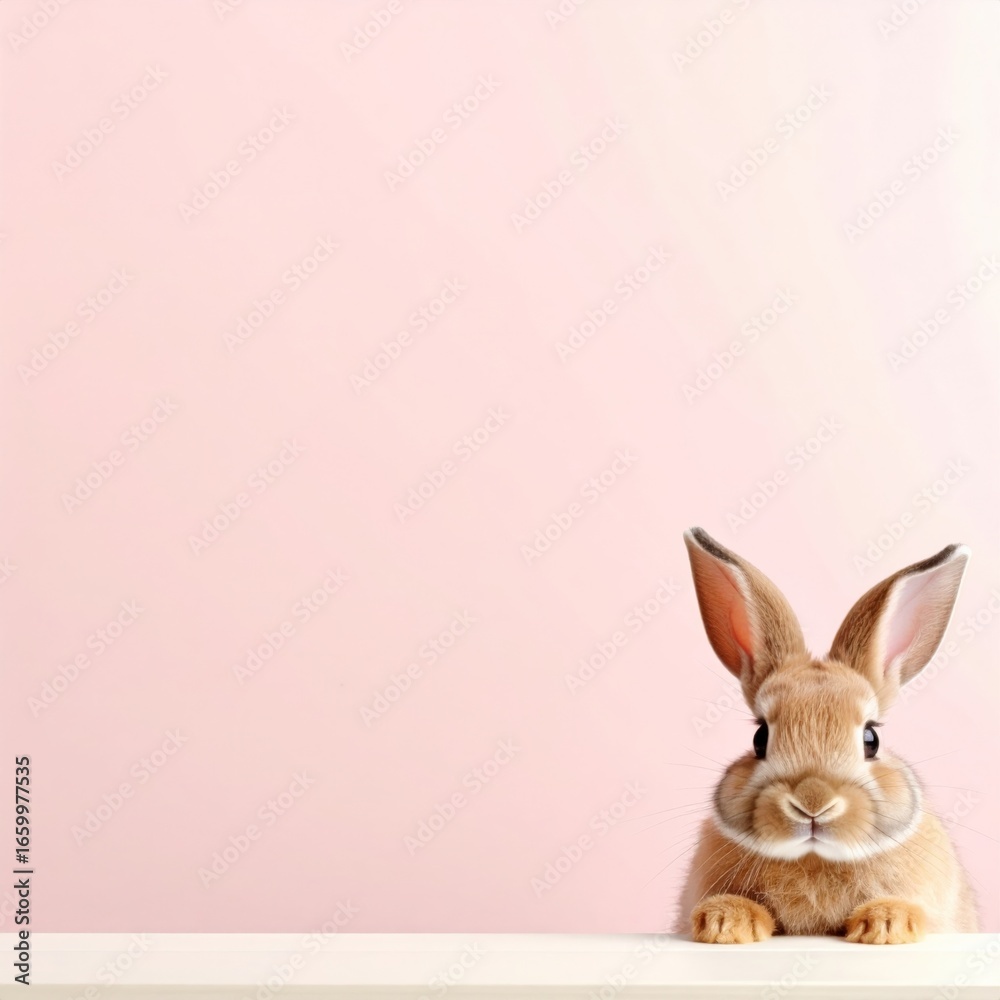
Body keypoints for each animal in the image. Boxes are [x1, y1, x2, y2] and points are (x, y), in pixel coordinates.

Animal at [676, 527, 978, 944]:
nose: (813, 802)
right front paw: (724, 922)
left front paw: (886, 924)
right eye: (759, 738)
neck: (814, 857)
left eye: (871, 740)